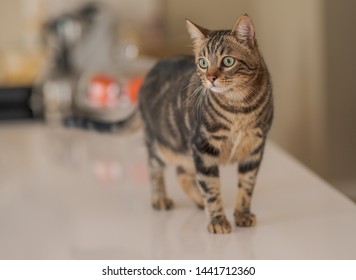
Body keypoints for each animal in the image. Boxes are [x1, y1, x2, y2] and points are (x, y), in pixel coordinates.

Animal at [66, 15, 272, 234]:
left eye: (228, 61)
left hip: (186, 150)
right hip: (161, 145)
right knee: (155, 168)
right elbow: (211, 187)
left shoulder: (254, 148)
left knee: (182, 173)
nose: (210, 78)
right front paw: (217, 219)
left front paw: (242, 214)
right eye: (203, 63)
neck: (239, 108)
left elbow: (246, 186)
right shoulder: (203, 146)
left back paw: (199, 202)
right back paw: (161, 198)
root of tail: (147, 75)